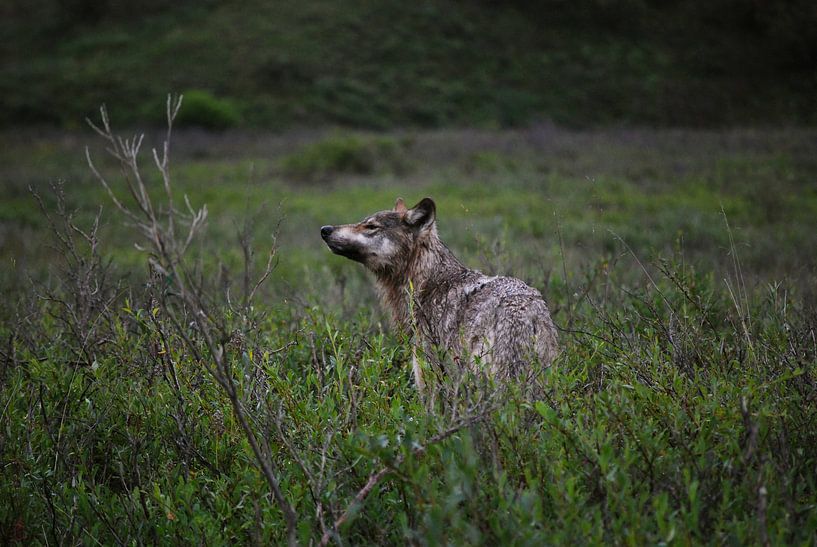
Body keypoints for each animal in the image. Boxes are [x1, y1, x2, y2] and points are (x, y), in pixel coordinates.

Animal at [322, 199, 556, 392]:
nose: (325, 229)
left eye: (371, 226)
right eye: (363, 222)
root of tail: (527, 314)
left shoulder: (427, 373)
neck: (427, 284)